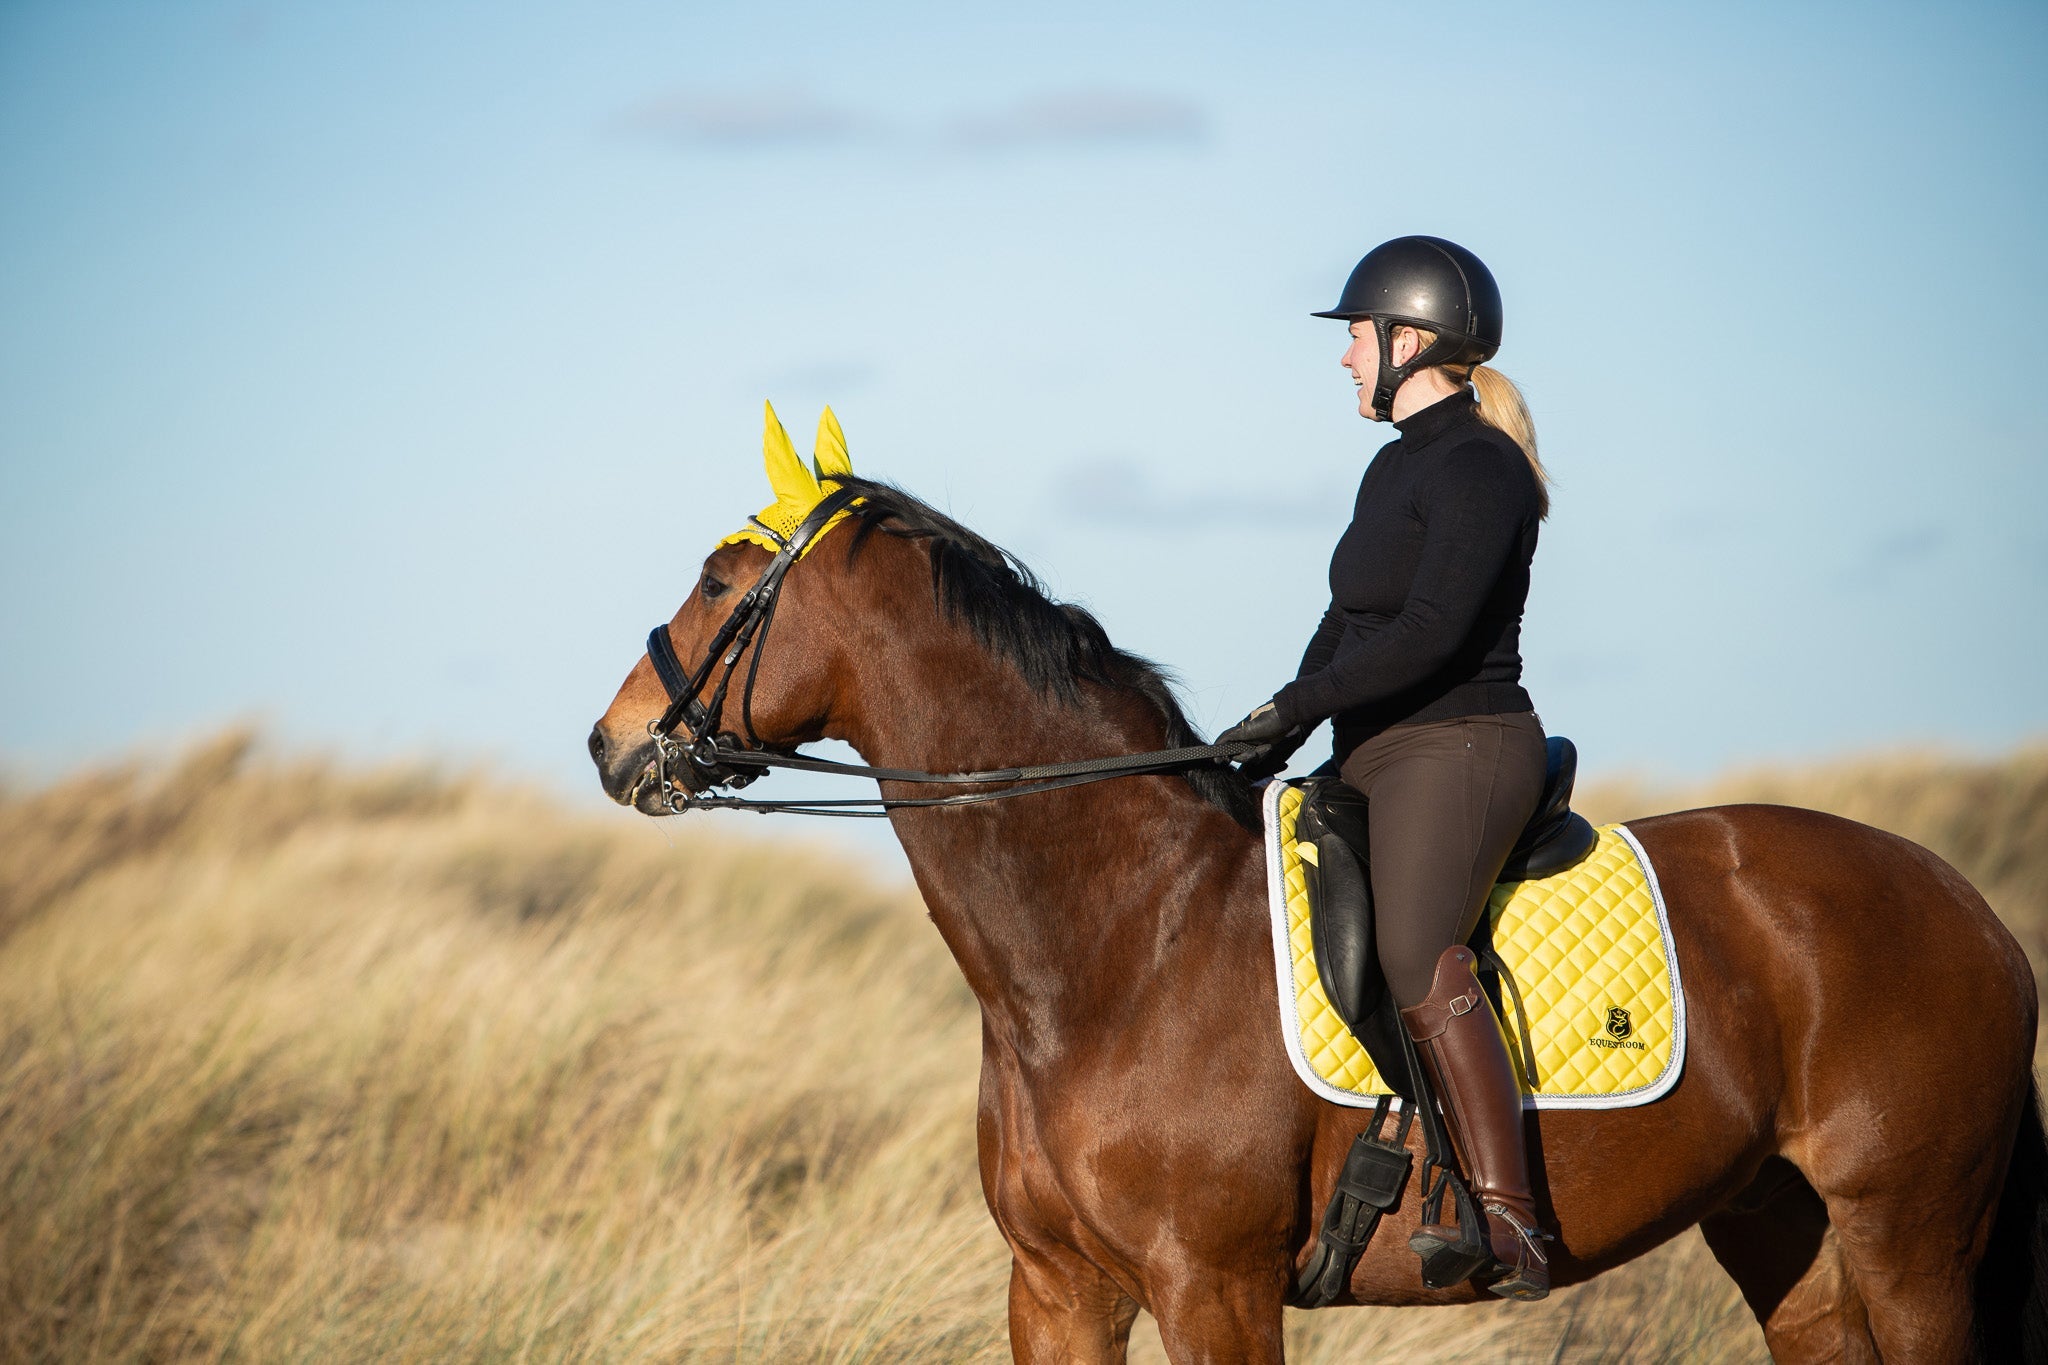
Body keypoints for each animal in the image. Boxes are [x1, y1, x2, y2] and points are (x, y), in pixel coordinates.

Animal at [587, 423, 2045, 1363]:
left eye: (719, 581)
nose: (612, 744)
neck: (1116, 946)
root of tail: (1964, 904)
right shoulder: (1056, 1290)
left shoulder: (1213, 1289)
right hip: (1780, 1226)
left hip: (1913, 1240)